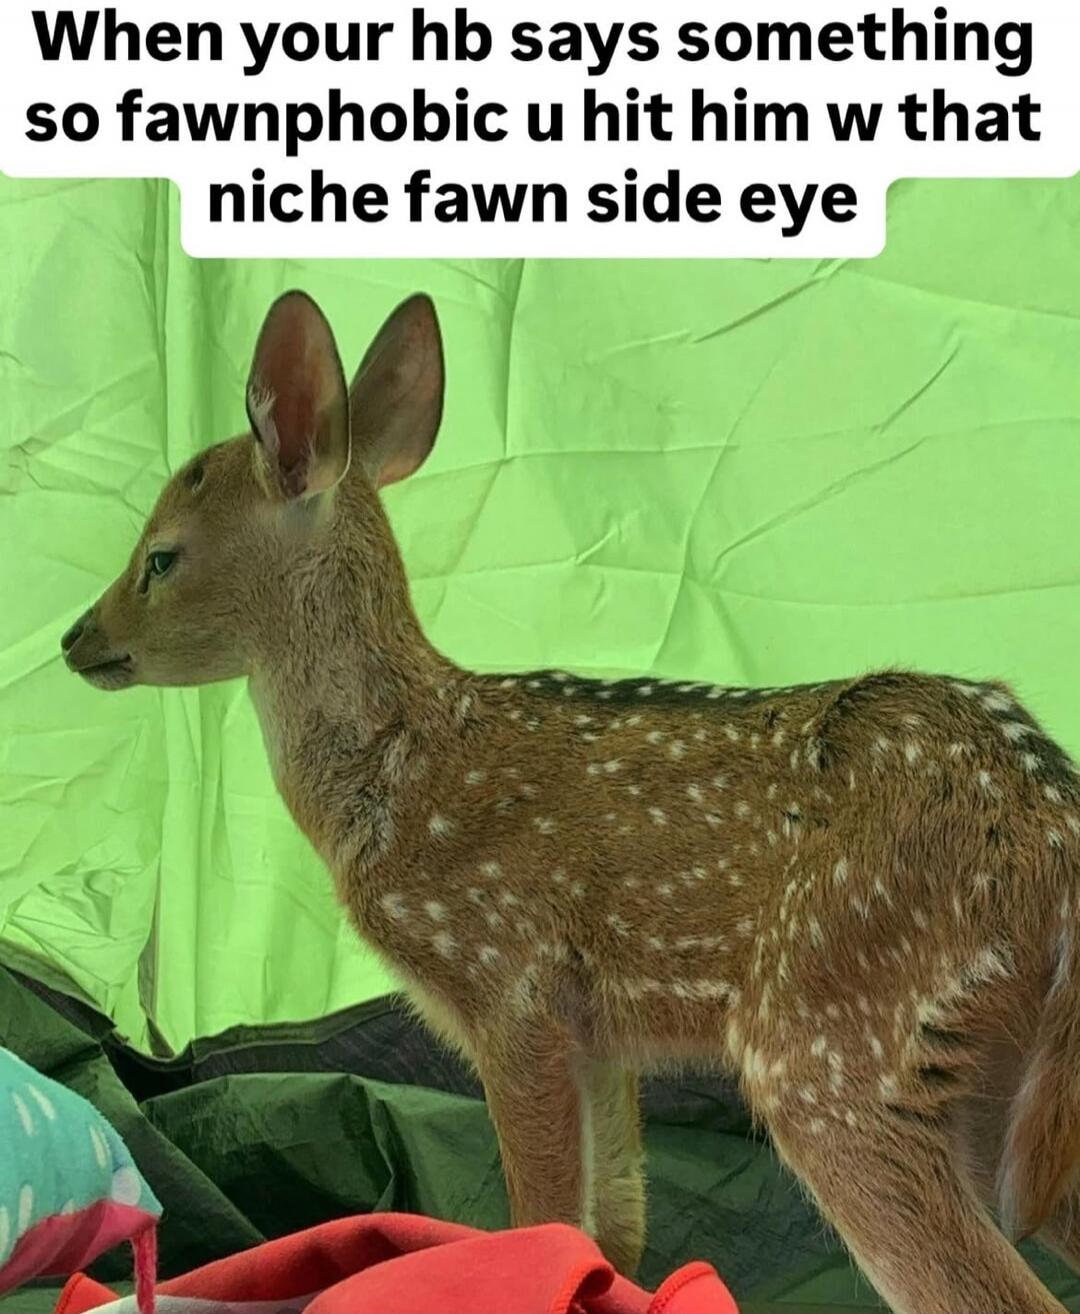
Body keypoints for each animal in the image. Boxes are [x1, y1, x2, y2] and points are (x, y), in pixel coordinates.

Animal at [59, 289, 1080, 1314]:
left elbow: (544, 1218)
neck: (395, 775)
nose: (75, 638)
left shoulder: (505, 972)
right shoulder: (600, 1031)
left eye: (161, 557)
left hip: (834, 1040)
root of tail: (1047, 818)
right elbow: (613, 1230)